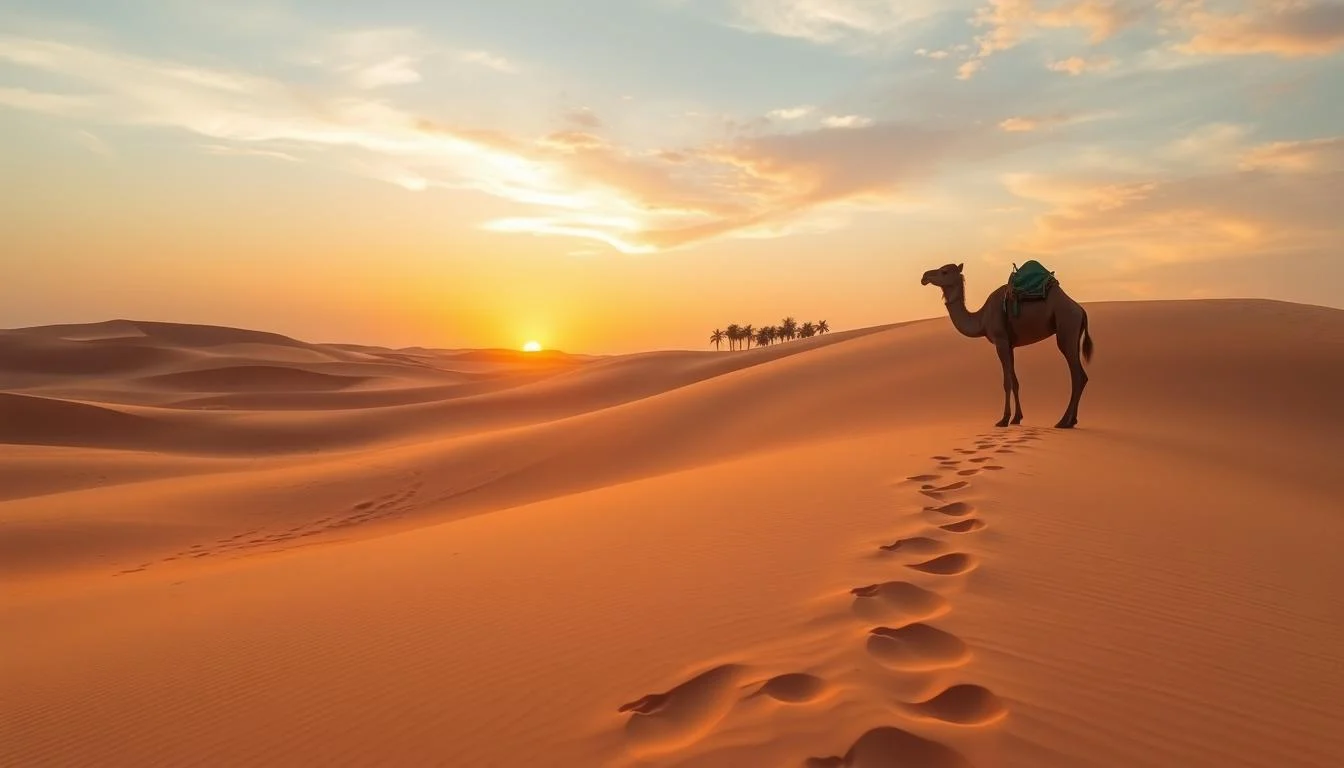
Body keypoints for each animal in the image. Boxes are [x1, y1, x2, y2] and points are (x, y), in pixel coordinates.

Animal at [920, 262, 1094, 429]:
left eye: (944, 271)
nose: (924, 276)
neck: (982, 319)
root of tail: (1080, 310)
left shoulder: (1001, 341)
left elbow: (1006, 382)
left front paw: (1004, 419)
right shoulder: (1010, 345)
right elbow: (1015, 381)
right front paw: (1017, 418)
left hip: (1066, 329)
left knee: (1077, 376)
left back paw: (1063, 422)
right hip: (1074, 335)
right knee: (1080, 376)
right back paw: (1072, 421)